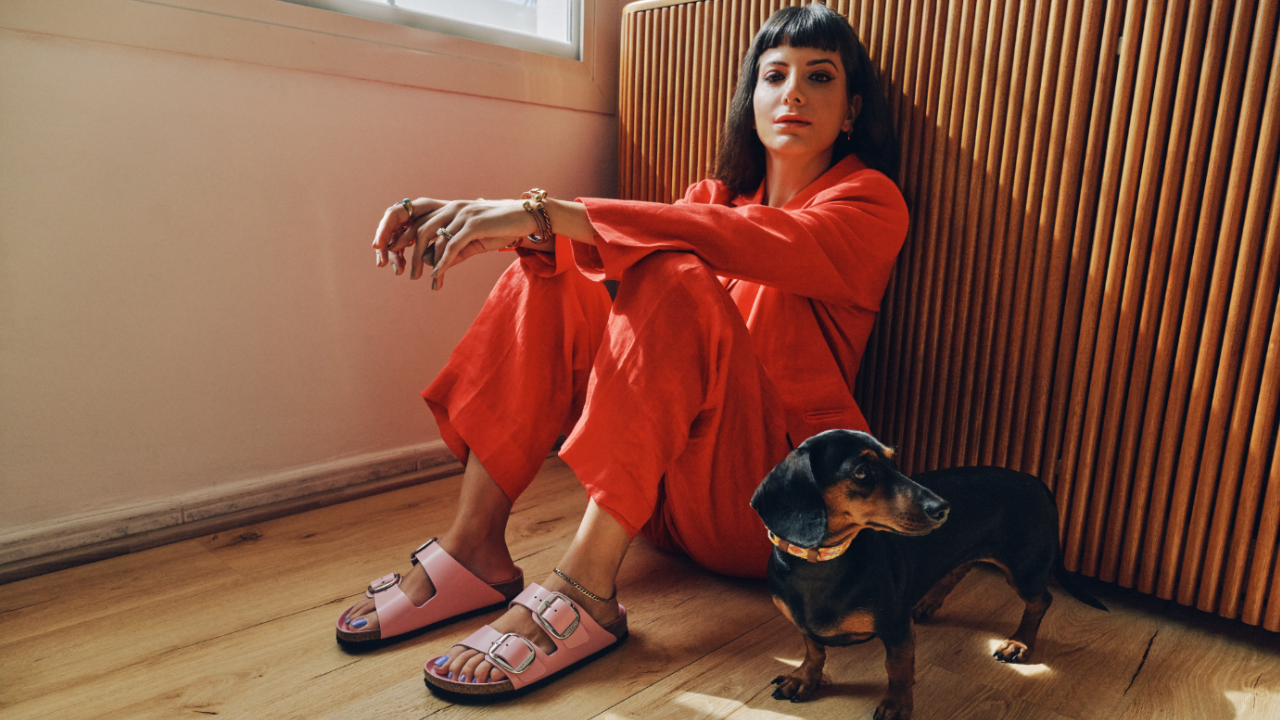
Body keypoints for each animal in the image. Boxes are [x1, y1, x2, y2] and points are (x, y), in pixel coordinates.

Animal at [750, 429, 1106, 720]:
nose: (943, 509)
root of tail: (1038, 482)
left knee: (1040, 601)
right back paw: (927, 604)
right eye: (862, 471)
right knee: (958, 570)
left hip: (1024, 567)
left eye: (895, 462)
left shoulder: (896, 628)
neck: (821, 562)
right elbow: (814, 648)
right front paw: (804, 679)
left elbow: (897, 668)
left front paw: (897, 705)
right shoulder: (803, 623)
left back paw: (1019, 642)